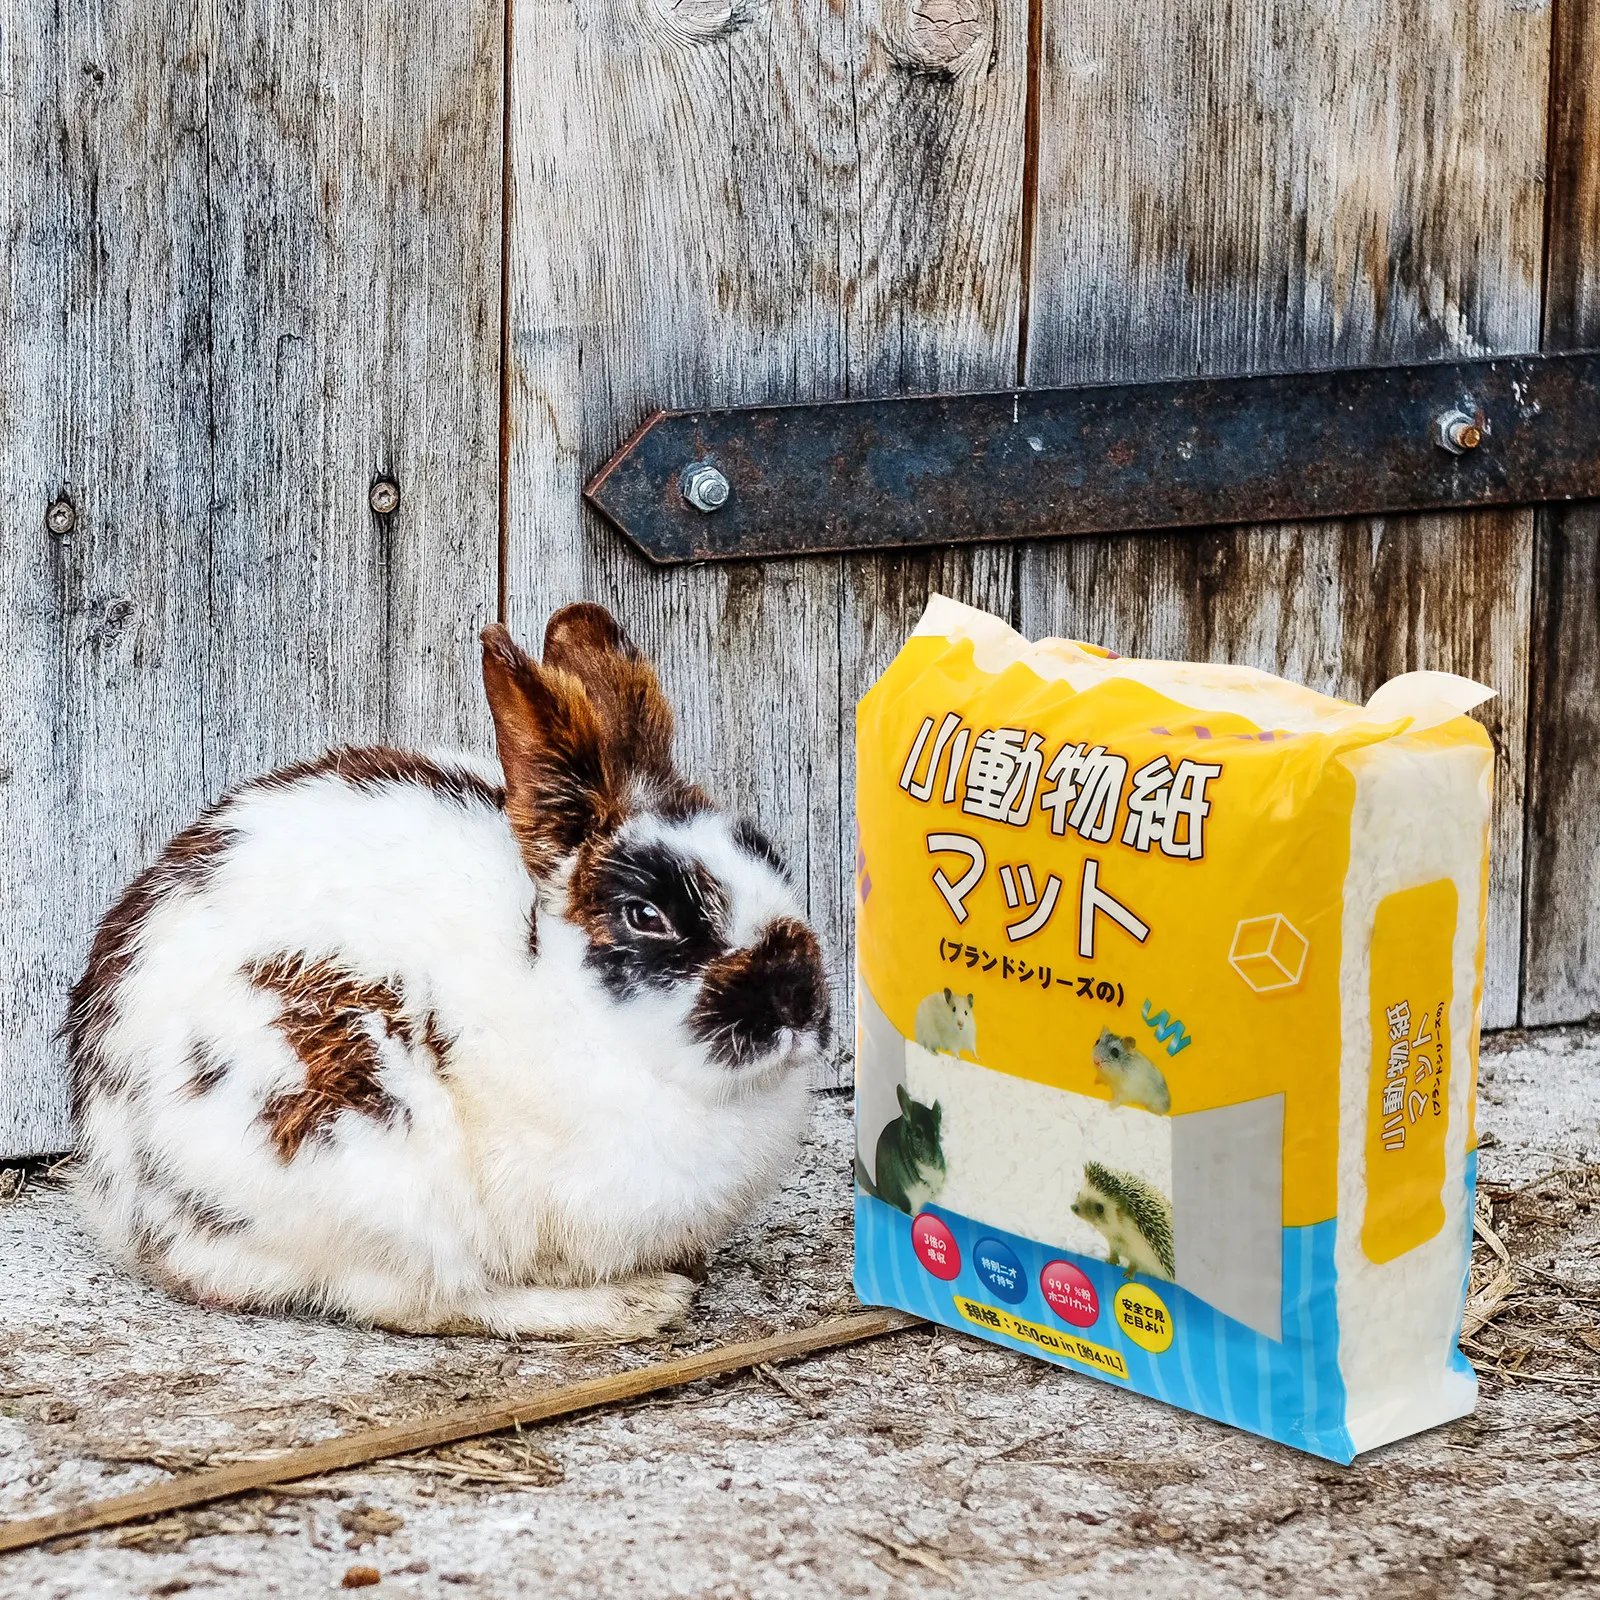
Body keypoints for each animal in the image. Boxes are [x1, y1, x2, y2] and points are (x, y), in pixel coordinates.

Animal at [64, 604, 831, 1341]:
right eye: (646, 916)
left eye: (770, 858)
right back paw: (635, 1305)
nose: (798, 999)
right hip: (370, 1150)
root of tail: (125, 1194)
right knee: (430, 1301)